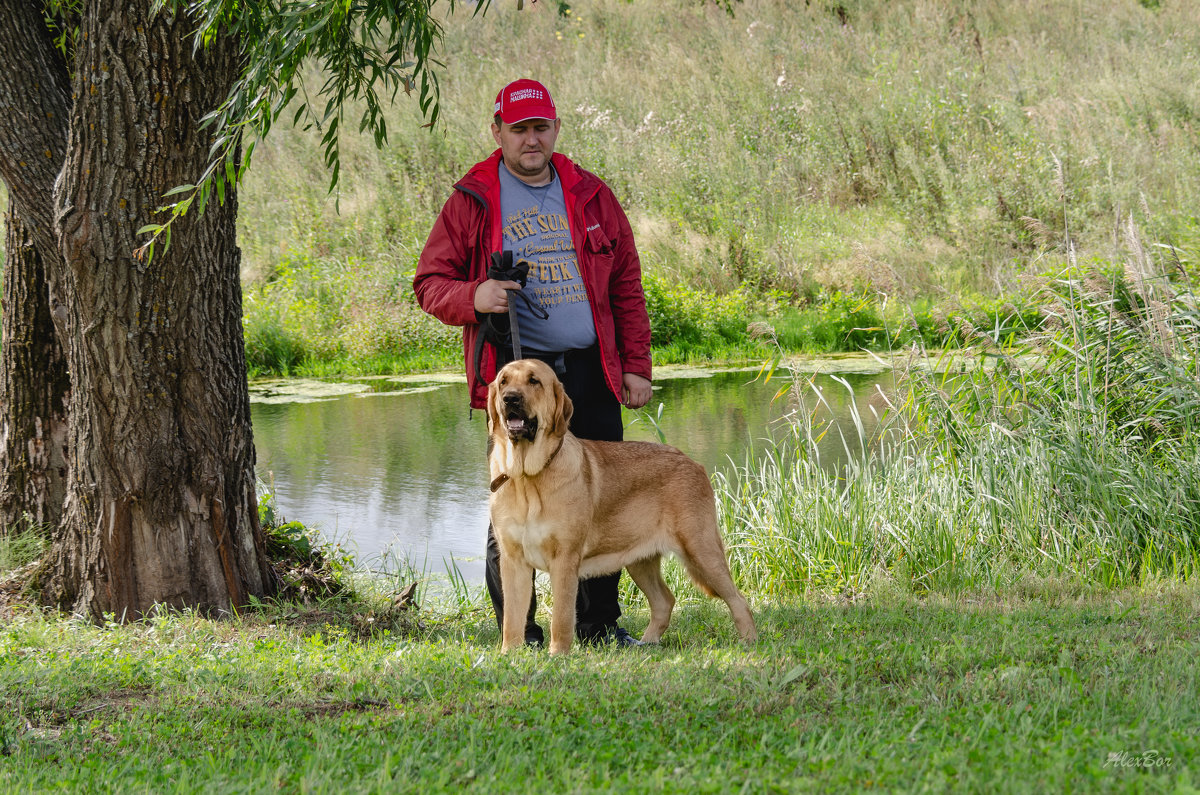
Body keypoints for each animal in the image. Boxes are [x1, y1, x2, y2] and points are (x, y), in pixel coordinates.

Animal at [484, 360, 748, 653]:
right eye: (504, 381)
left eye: (534, 381)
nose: (510, 398)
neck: (527, 477)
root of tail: (693, 463)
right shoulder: (513, 561)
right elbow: (513, 618)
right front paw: (510, 653)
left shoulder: (564, 559)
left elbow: (561, 618)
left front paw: (558, 655)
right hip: (641, 561)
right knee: (665, 601)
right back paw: (646, 644)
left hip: (700, 550)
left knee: (738, 600)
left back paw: (749, 641)